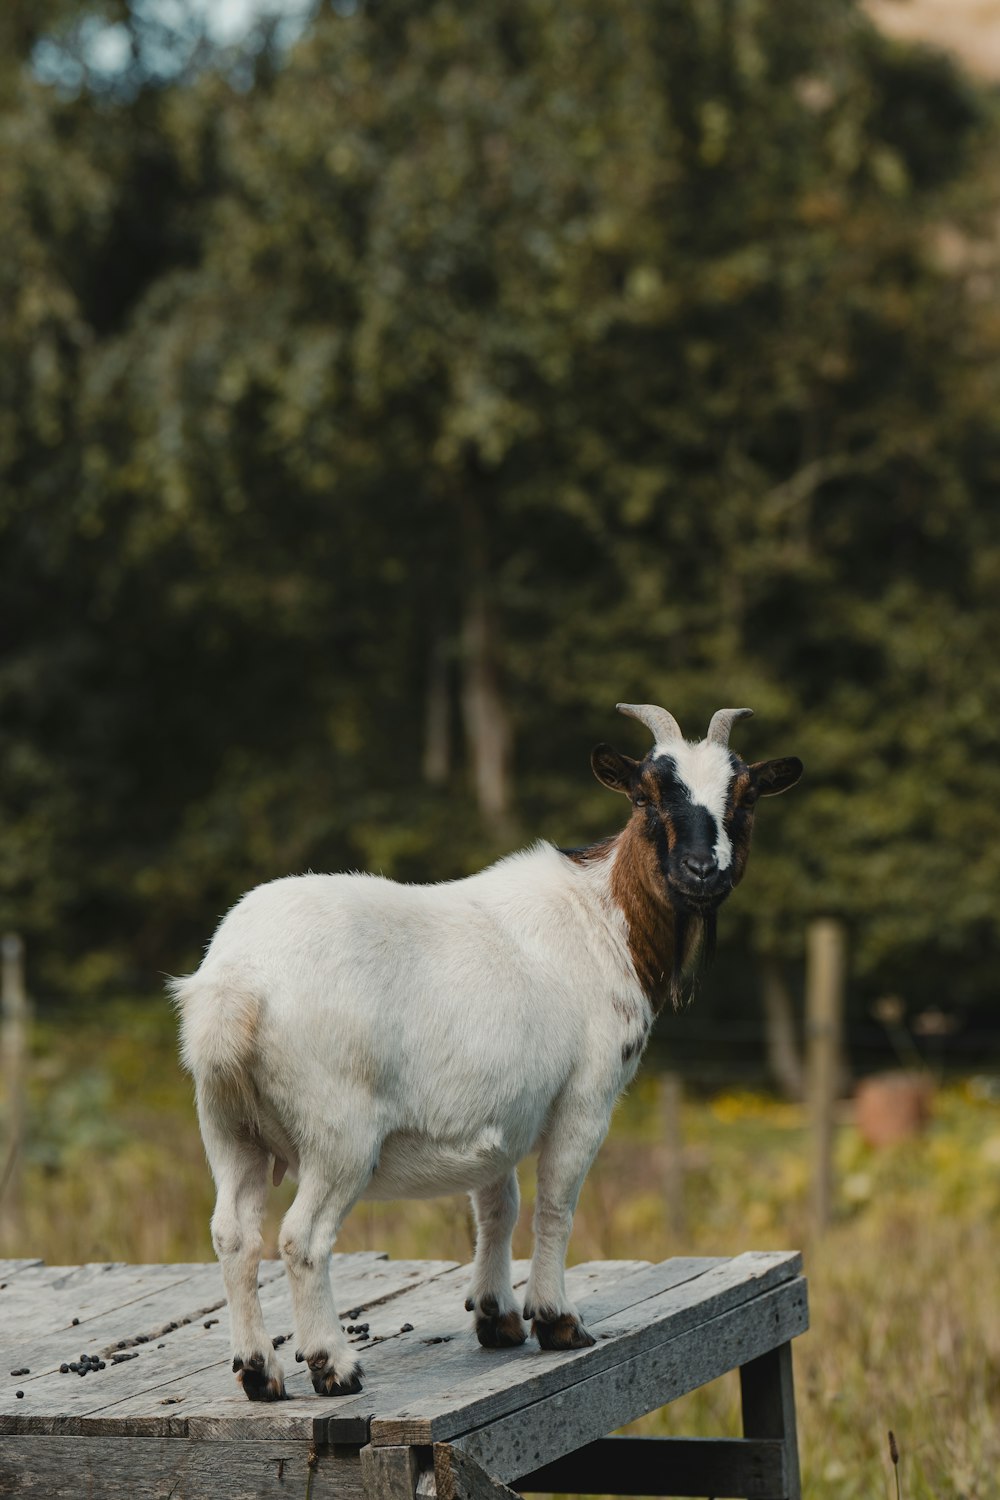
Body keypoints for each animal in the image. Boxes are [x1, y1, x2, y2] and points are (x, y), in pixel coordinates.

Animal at [170, 699, 797, 1392]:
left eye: (746, 798)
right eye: (644, 794)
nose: (701, 871)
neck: (603, 920)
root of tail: (235, 986)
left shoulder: (501, 1106)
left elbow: (498, 1202)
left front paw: (497, 1317)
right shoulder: (586, 1093)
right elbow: (554, 1203)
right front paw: (557, 1320)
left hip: (226, 1122)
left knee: (234, 1234)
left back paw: (259, 1372)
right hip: (337, 1127)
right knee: (300, 1238)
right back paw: (335, 1366)